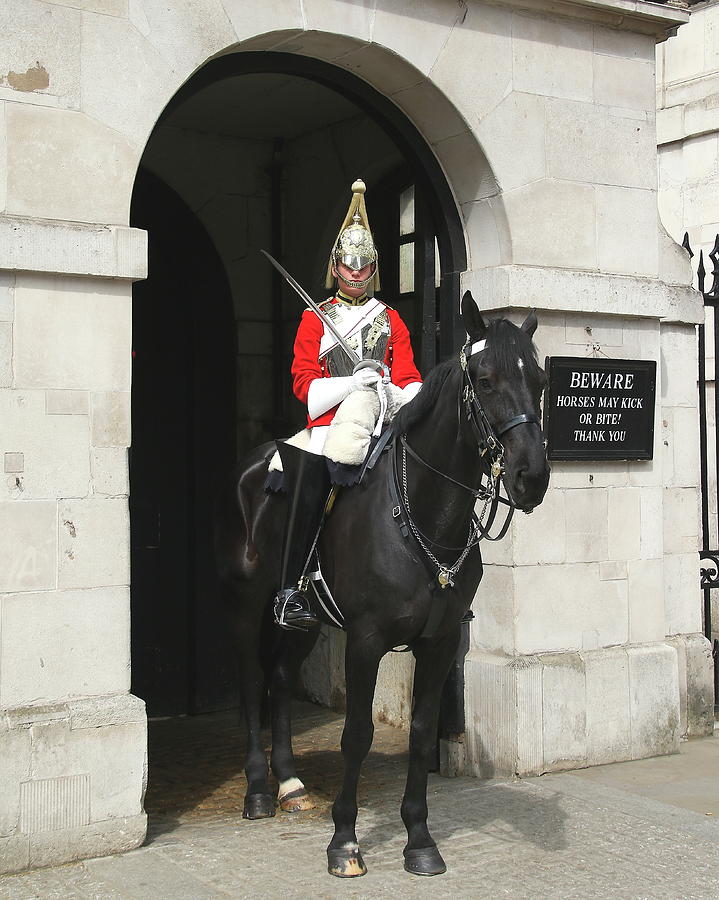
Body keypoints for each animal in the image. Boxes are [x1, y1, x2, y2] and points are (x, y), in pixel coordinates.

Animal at [215, 294, 552, 880]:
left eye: (538, 379)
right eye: (486, 380)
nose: (531, 477)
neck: (423, 513)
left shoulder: (439, 642)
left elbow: (420, 731)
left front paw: (419, 840)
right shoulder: (366, 641)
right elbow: (356, 735)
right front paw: (345, 842)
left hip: (306, 621)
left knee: (279, 678)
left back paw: (290, 783)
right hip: (247, 602)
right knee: (254, 677)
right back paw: (258, 789)